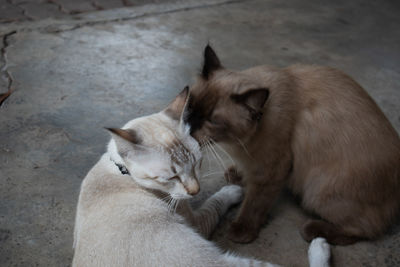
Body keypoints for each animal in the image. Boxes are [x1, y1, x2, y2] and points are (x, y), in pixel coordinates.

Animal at [72, 87, 332, 266]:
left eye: (197, 164)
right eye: (171, 177)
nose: (195, 190)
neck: (120, 171)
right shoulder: (195, 221)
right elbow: (216, 202)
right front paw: (234, 191)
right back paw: (320, 245)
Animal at [186, 45, 400, 246]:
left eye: (212, 121)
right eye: (191, 106)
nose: (189, 126)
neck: (238, 143)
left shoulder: (271, 170)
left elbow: (254, 203)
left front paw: (241, 231)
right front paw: (237, 175)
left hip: (316, 191)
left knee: (366, 229)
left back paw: (313, 231)